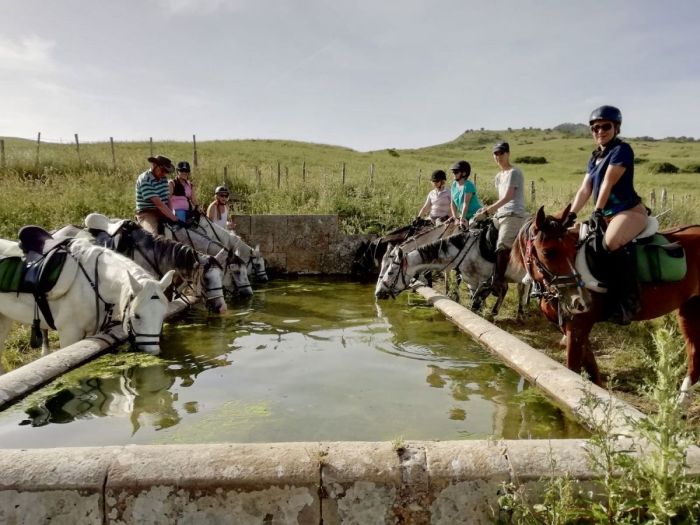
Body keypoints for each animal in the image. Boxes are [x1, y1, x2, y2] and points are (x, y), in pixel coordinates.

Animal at [0, 235, 174, 370]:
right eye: (136, 316)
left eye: (162, 315)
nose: (153, 351)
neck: (93, 283)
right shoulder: (69, 334)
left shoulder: (91, 333)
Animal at [374, 226, 528, 320]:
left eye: (390, 271)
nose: (377, 293)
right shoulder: (471, 282)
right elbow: (475, 301)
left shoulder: (480, 281)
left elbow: (475, 302)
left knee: (519, 289)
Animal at [512, 203, 700, 400]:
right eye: (548, 252)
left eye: (572, 249)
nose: (581, 301)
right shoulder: (574, 330)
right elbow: (593, 374)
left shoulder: (577, 328)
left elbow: (573, 371)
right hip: (690, 311)